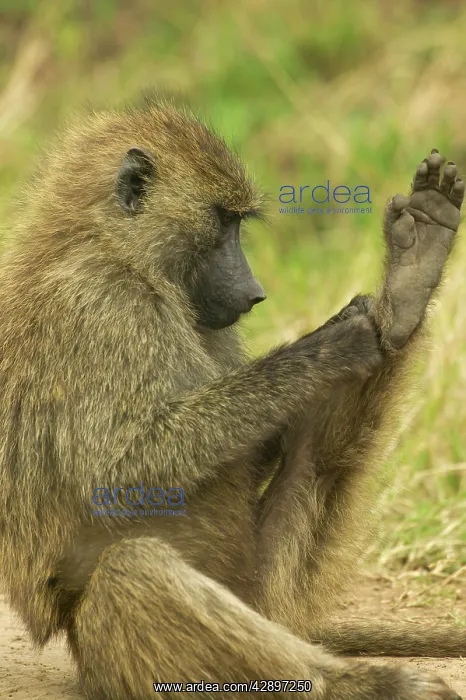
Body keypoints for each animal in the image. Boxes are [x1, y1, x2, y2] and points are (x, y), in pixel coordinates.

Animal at [0, 97, 464, 700]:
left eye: (238, 223)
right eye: (222, 221)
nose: (254, 293)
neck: (118, 252)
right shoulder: (101, 307)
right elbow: (120, 469)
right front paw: (330, 344)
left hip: (260, 593)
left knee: (316, 463)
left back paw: (407, 290)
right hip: (118, 655)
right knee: (132, 570)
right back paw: (362, 683)